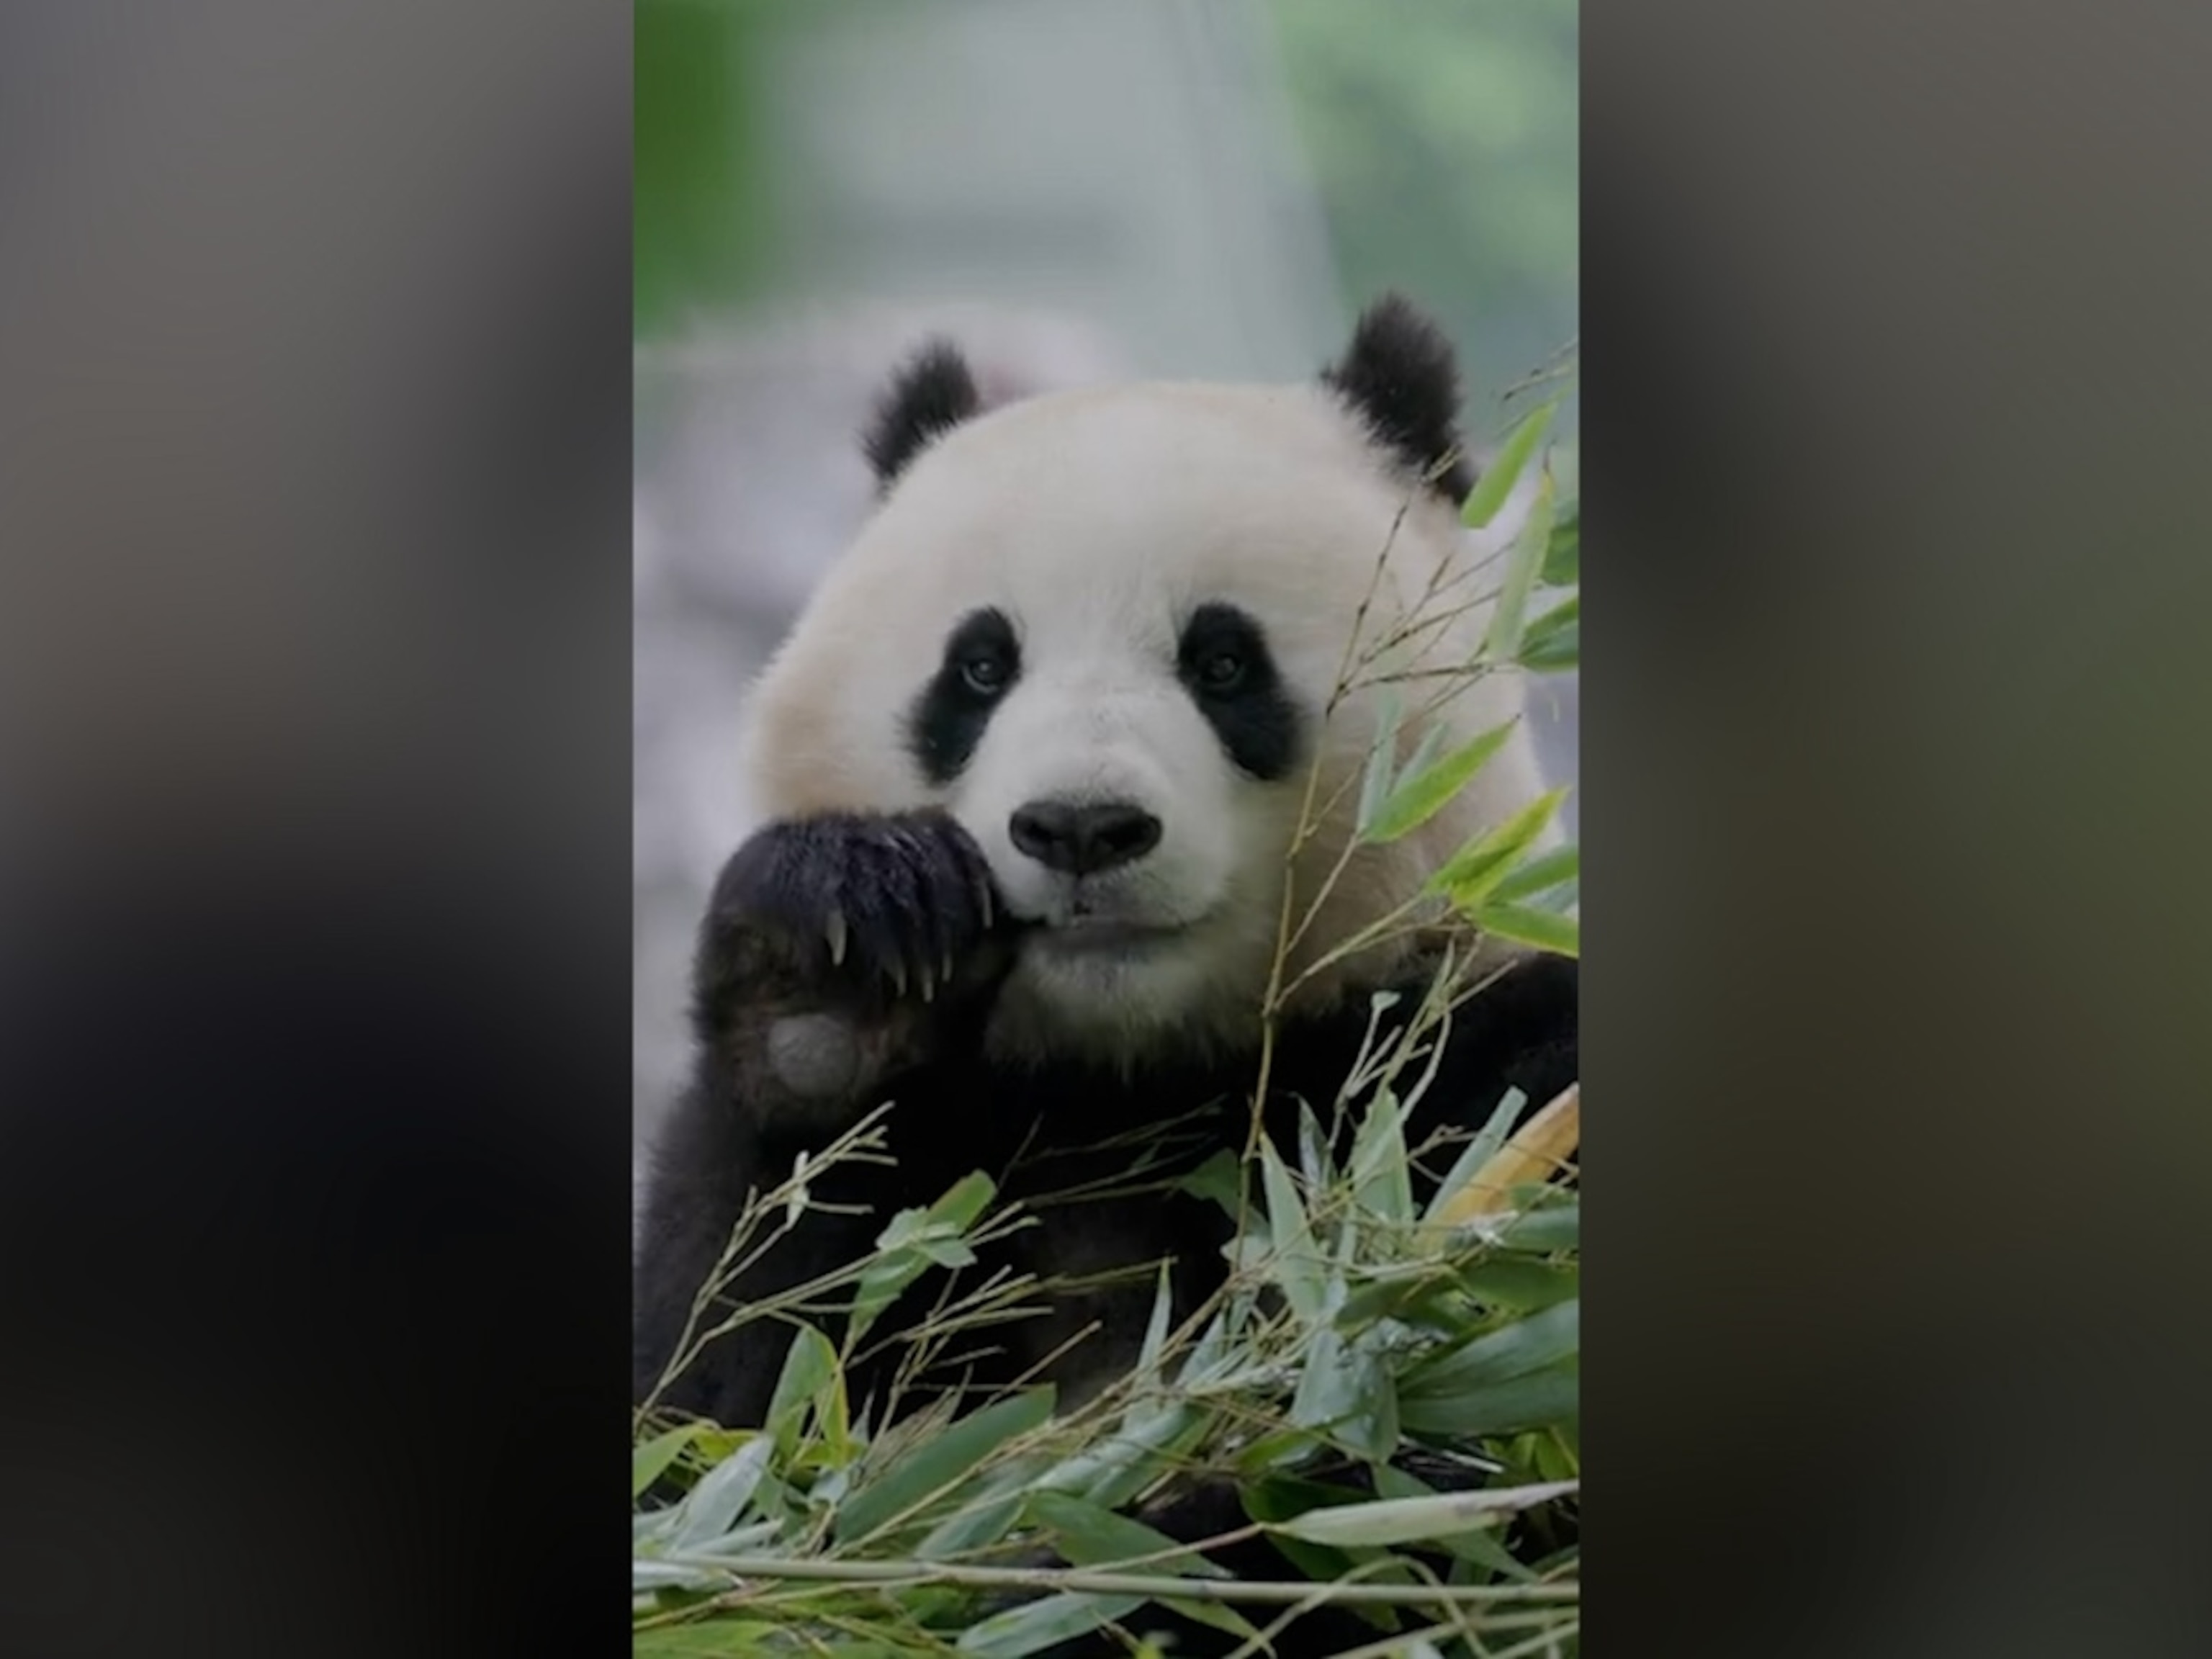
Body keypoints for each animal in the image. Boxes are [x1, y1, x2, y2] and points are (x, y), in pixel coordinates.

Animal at [632, 294, 1578, 1653]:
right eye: (979, 666)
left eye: (1223, 663)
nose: (1081, 828)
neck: (1126, 1074)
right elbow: (723, 1421)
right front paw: (838, 974)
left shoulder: (1479, 1083)